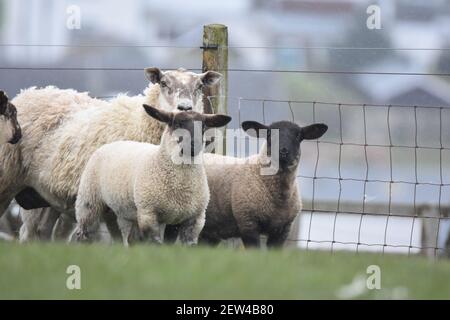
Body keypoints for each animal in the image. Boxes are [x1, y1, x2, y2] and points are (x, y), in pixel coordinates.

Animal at [72, 105, 232, 245]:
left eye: (203, 127)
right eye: (177, 123)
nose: (194, 146)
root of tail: (111, 143)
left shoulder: (194, 219)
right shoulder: (148, 214)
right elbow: (155, 244)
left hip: (119, 212)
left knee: (122, 238)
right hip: (89, 202)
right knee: (83, 233)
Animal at [164, 120, 326, 248]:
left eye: (298, 135)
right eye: (268, 134)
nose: (283, 151)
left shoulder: (282, 231)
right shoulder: (248, 223)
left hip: (211, 230)